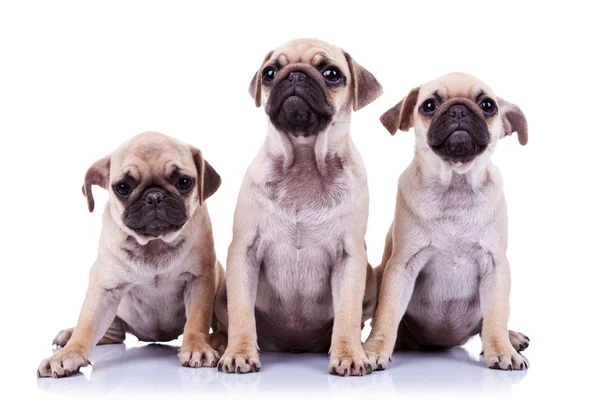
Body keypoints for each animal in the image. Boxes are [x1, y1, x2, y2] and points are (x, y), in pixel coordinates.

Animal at [37, 132, 225, 378]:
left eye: (184, 182)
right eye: (123, 187)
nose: (154, 196)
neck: (155, 243)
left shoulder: (199, 280)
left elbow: (196, 320)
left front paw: (197, 347)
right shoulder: (104, 289)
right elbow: (87, 325)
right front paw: (69, 353)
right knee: (106, 333)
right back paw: (69, 335)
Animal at [218, 37, 382, 376]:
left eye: (332, 73)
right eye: (269, 73)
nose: (294, 74)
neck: (304, 161)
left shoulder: (351, 258)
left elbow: (348, 313)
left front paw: (349, 354)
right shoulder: (243, 252)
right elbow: (241, 312)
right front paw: (239, 352)